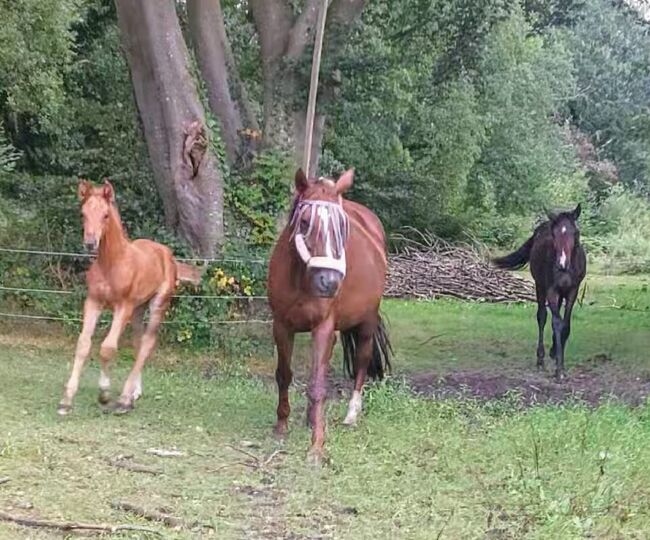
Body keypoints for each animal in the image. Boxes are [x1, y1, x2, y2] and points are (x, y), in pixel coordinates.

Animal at [57, 179, 201, 416]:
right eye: (83, 213)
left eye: (106, 215)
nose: (90, 243)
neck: (112, 263)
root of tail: (168, 254)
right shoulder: (93, 302)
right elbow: (83, 345)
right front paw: (66, 401)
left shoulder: (122, 307)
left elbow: (107, 348)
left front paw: (104, 394)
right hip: (138, 309)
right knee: (138, 341)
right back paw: (134, 393)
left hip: (157, 304)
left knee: (148, 343)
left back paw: (124, 400)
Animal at [264, 169, 390, 464]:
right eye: (305, 222)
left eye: (343, 227)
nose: (330, 282)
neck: (300, 279)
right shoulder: (281, 326)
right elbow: (284, 375)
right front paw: (281, 425)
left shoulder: (322, 327)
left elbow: (319, 386)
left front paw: (317, 447)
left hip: (367, 322)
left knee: (361, 361)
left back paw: (351, 413)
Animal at [492, 204, 588, 380]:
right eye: (554, 234)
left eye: (575, 233)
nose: (562, 264)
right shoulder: (551, 290)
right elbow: (556, 323)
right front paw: (559, 371)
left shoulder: (573, 291)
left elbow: (565, 325)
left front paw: (558, 359)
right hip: (540, 287)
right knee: (542, 317)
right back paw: (541, 359)